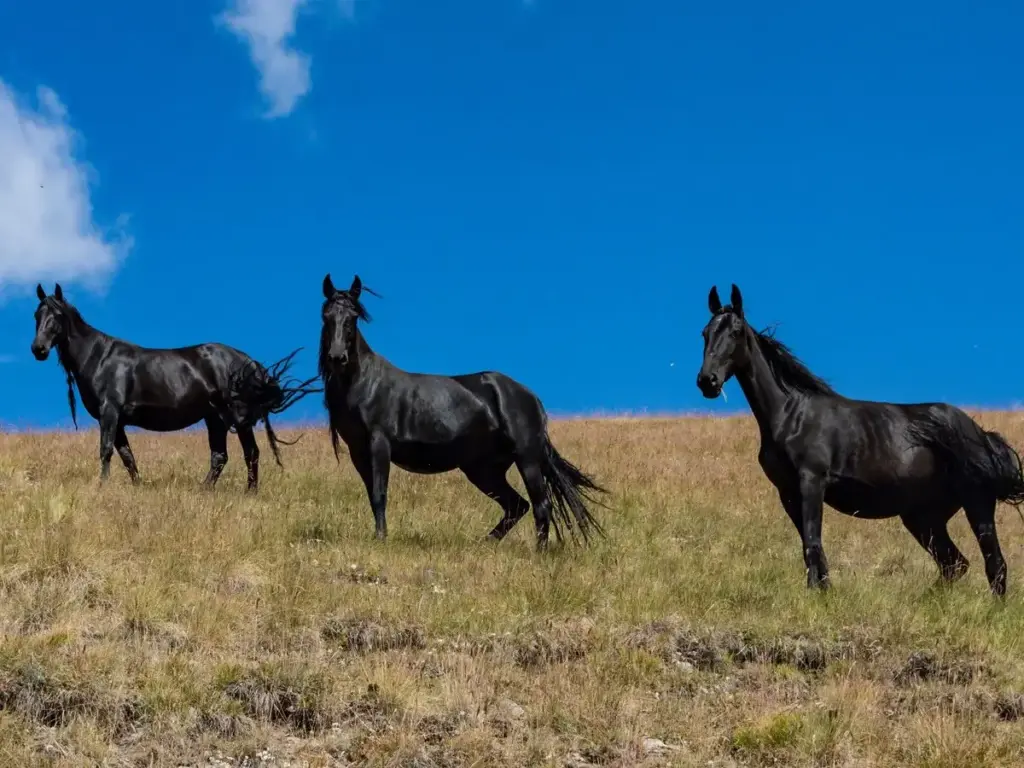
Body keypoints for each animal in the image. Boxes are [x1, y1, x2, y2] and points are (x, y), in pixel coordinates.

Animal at [30, 283, 321, 491]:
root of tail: (249, 363)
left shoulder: (109, 413)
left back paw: (250, 491)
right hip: (215, 418)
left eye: (57, 315)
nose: (38, 349)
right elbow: (126, 455)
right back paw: (203, 489)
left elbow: (106, 451)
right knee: (219, 457)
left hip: (238, 419)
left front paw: (102, 487)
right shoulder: (118, 420)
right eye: (37, 314)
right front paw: (137, 487)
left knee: (251, 453)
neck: (100, 357)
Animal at [317, 273, 607, 550]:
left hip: (527, 458)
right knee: (517, 505)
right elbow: (371, 494)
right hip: (482, 469)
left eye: (353, 318)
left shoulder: (379, 443)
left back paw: (540, 552)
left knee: (540, 505)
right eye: (326, 315)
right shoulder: (358, 450)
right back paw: (485, 544)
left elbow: (379, 493)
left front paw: (381, 539)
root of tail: (531, 397)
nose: (337, 358)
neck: (364, 382)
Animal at [696, 284, 1024, 596]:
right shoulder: (787, 492)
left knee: (994, 564)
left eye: (736, 332)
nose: (707, 382)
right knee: (954, 564)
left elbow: (813, 543)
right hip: (923, 517)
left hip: (976, 503)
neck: (791, 415)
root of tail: (983, 435)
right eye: (705, 333)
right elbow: (809, 546)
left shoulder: (811, 482)